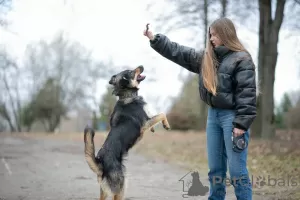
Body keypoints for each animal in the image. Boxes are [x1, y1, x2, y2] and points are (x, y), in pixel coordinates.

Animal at [83, 65, 170, 199]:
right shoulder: (144, 123)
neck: (127, 95)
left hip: (104, 190)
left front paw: (154, 128)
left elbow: (155, 117)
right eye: (130, 71)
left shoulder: (147, 121)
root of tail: (101, 164)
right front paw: (166, 125)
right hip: (121, 185)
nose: (141, 65)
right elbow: (161, 114)